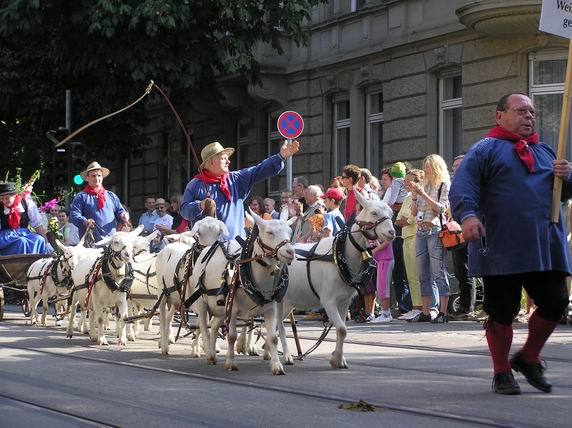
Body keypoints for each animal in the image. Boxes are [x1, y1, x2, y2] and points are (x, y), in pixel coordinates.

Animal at [156, 217, 230, 354]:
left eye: (218, 233)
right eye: (199, 233)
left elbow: (206, 323)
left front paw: (206, 347)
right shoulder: (199, 301)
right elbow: (203, 323)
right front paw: (199, 348)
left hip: (176, 298)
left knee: (168, 317)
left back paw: (167, 340)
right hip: (162, 291)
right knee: (162, 316)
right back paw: (164, 346)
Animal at [188, 211, 294, 374]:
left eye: (290, 232)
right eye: (269, 232)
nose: (290, 252)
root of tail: (206, 249)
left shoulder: (271, 309)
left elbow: (273, 337)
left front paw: (277, 366)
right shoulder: (232, 309)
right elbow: (231, 336)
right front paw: (231, 363)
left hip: (220, 307)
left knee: (214, 326)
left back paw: (213, 352)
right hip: (202, 302)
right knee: (203, 326)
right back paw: (209, 353)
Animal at [280, 191, 396, 368]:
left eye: (391, 213)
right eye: (374, 212)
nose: (391, 232)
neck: (338, 256)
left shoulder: (344, 301)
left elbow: (342, 329)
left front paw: (338, 359)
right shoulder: (328, 300)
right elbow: (341, 329)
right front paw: (337, 358)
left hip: (287, 302)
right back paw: (282, 356)